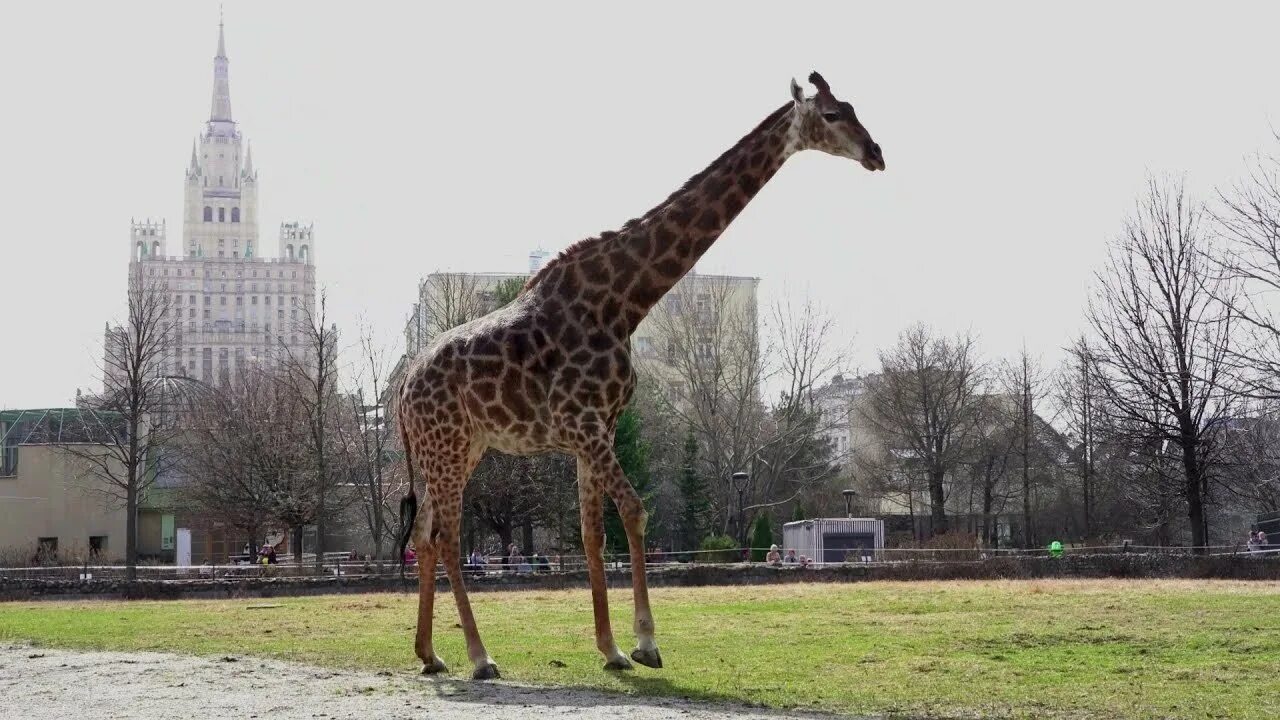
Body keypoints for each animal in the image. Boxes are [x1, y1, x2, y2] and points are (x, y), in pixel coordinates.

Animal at [394, 70, 885, 676]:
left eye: (855, 108)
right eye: (834, 115)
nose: (876, 153)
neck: (624, 302)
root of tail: (403, 389)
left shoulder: (596, 430)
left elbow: (591, 535)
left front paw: (611, 649)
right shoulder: (585, 426)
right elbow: (634, 511)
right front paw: (646, 643)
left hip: (457, 449)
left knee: (425, 534)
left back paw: (430, 654)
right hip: (448, 447)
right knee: (448, 535)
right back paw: (480, 656)